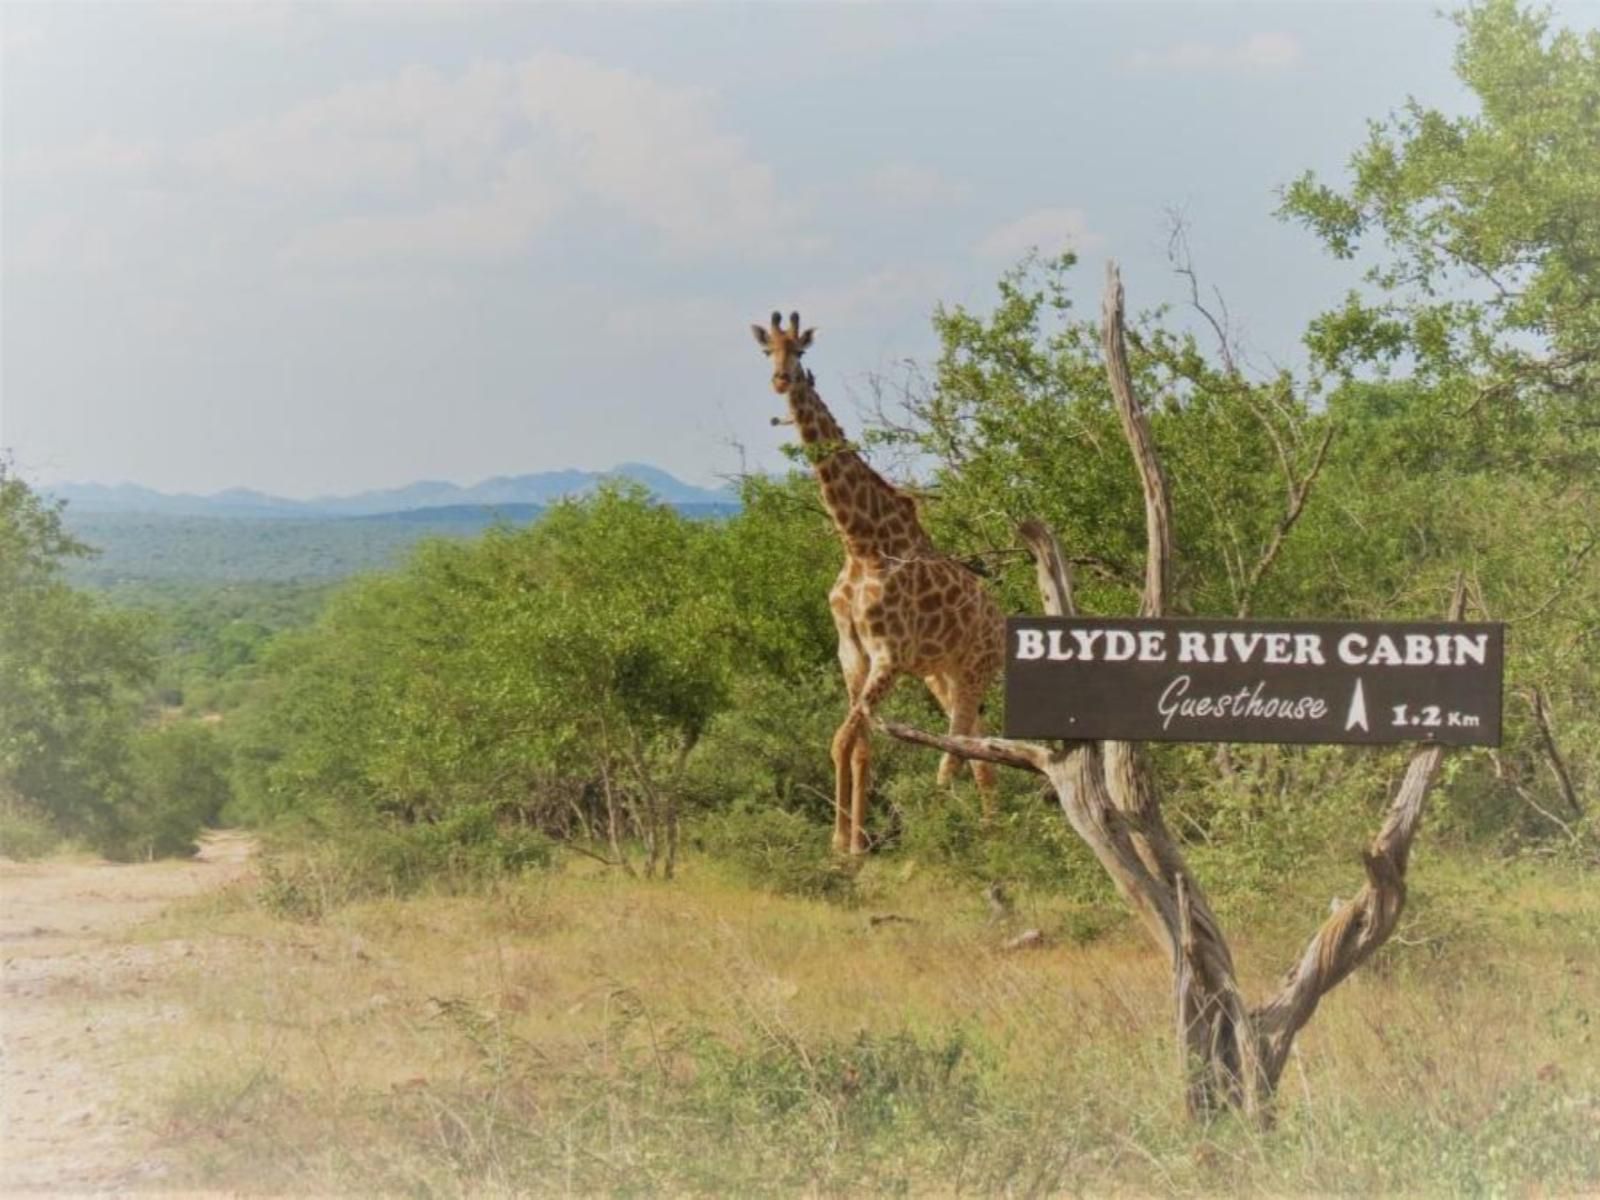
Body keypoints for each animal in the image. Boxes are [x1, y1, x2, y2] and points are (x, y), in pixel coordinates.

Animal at [748, 310, 998, 857]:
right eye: (766, 351)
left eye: (800, 350)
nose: (780, 380)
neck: (860, 543)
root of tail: (1000, 616)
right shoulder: (852, 651)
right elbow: (855, 744)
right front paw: (844, 842)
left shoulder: (888, 654)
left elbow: (844, 738)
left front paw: (851, 848)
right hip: (941, 676)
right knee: (978, 748)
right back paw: (996, 834)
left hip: (974, 670)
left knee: (961, 749)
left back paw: (960, 839)